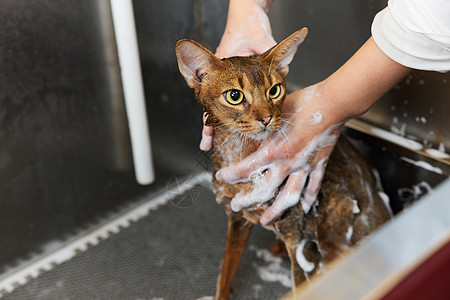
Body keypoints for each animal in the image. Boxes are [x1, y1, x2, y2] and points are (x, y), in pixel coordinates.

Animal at [174, 28, 392, 300]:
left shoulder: (299, 238)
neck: (240, 155)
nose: (266, 118)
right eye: (234, 96)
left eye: (274, 91)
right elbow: (225, 272)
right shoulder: (236, 216)